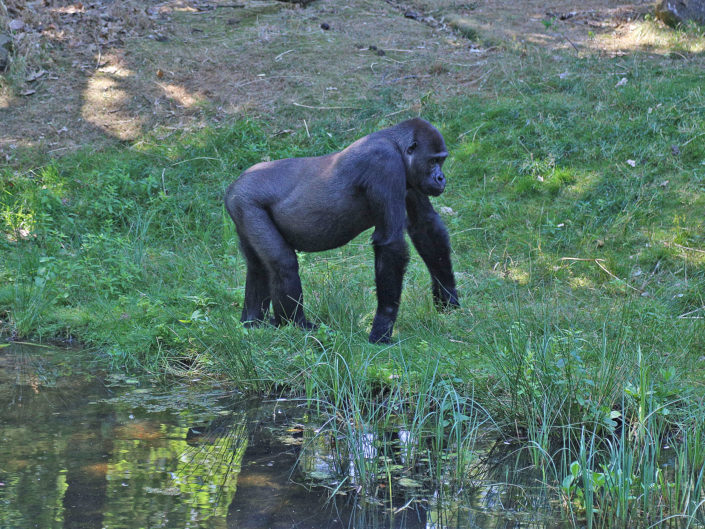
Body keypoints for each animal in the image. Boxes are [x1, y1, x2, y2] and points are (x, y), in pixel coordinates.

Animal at [224, 118, 459, 344]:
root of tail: (233, 186)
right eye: (432, 161)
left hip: (241, 207)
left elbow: (425, 226)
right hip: (246, 202)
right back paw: (296, 325)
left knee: (258, 267)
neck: (396, 144)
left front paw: (448, 297)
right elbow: (391, 243)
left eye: (441, 160)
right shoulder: (385, 164)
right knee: (282, 264)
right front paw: (383, 325)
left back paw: (253, 324)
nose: (441, 178)